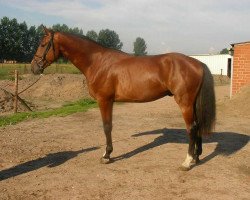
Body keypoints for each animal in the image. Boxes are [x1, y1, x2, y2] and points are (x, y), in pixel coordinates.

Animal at [30, 27, 215, 170]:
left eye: (43, 44)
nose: (33, 68)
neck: (98, 62)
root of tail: (198, 63)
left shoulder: (104, 100)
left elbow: (107, 127)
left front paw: (106, 155)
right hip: (192, 103)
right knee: (197, 126)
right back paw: (197, 157)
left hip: (184, 102)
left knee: (191, 128)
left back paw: (187, 162)